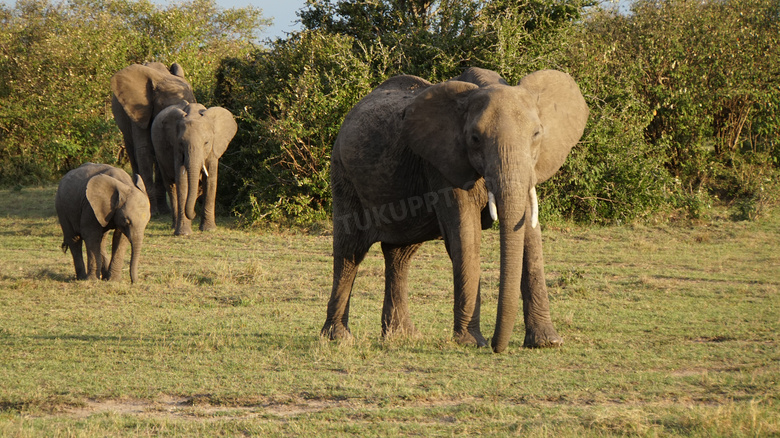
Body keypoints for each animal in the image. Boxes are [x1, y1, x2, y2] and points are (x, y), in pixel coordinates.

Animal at [111, 61, 197, 216]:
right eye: (163, 106)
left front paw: (164, 211)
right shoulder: (139, 113)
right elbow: (144, 151)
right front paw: (153, 212)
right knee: (132, 153)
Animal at [151, 102, 238, 236]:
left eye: (206, 143)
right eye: (181, 143)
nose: (194, 214)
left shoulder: (213, 149)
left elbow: (211, 180)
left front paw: (209, 229)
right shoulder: (176, 148)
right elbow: (182, 182)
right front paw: (184, 233)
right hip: (159, 154)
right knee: (171, 186)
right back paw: (174, 226)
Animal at [320, 67, 588, 352]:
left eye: (537, 134)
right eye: (475, 139)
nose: (497, 346)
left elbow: (530, 237)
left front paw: (547, 342)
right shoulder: (442, 165)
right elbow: (466, 235)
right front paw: (472, 342)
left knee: (400, 254)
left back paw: (403, 337)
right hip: (343, 173)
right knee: (350, 251)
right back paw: (339, 338)